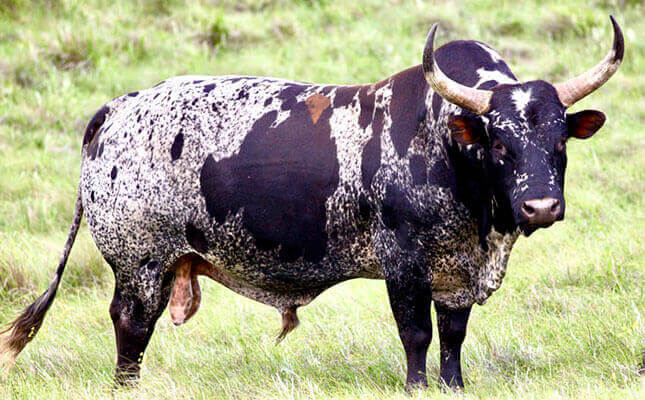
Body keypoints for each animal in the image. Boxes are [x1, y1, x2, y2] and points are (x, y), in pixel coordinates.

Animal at [1, 16, 623, 390]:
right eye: (498, 142)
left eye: (560, 141)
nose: (540, 207)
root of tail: (120, 106)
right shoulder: (403, 264)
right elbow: (416, 335)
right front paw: (417, 386)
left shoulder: (456, 272)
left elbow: (453, 336)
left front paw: (454, 386)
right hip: (140, 265)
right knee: (131, 328)